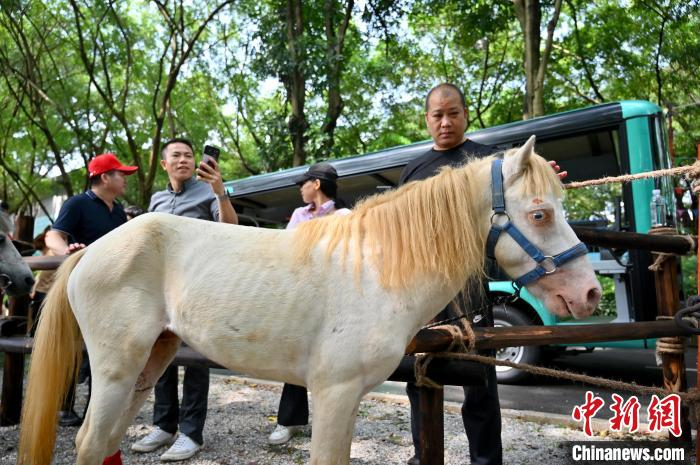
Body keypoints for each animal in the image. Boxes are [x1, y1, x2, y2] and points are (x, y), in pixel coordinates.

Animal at [18, 136, 601, 465]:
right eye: (540, 213)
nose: (590, 293)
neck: (375, 269)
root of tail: (92, 251)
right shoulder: (335, 393)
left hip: (151, 361)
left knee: (105, 442)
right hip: (116, 368)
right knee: (90, 442)